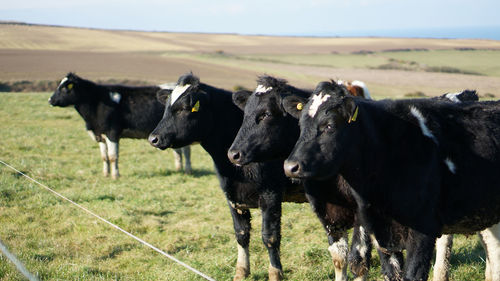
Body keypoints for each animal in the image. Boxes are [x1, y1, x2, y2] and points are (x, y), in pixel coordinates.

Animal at [48, 72, 192, 177]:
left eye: (64, 88)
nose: (50, 100)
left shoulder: (112, 133)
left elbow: (113, 157)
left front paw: (115, 175)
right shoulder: (100, 134)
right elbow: (104, 157)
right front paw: (105, 174)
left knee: (186, 151)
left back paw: (187, 170)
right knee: (178, 151)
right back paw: (178, 169)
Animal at [146, 74, 308, 280]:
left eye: (183, 108)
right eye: (166, 107)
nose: (153, 138)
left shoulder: (271, 194)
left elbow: (269, 237)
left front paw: (275, 273)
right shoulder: (232, 195)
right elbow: (241, 233)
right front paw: (241, 271)